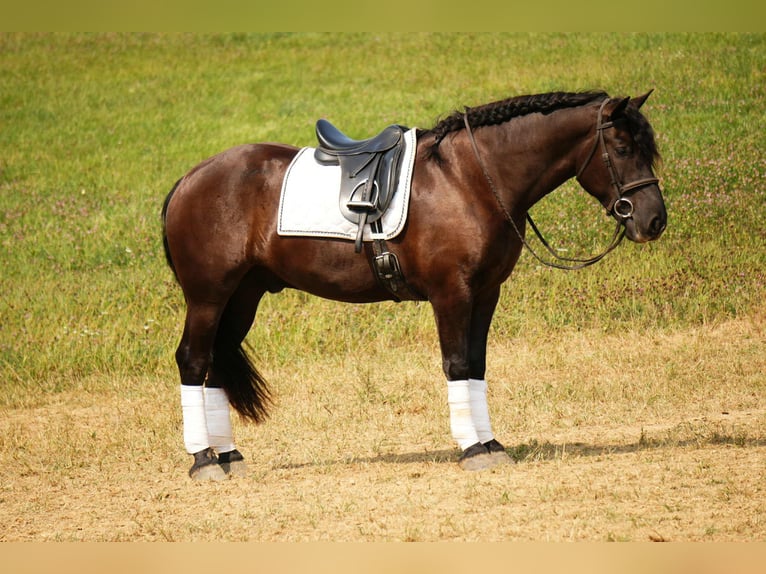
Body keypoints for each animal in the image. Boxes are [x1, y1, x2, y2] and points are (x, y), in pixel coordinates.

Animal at [161, 90, 667, 480]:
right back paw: (203, 459)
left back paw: (229, 455)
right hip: (208, 296)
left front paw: (492, 444)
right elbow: (457, 363)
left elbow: (477, 364)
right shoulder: (452, 293)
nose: (654, 220)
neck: (469, 179)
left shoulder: (486, 293)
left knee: (214, 365)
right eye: (623, 148)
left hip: (242, 296)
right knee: (192, 360)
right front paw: (471, 448)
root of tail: (190, 178)